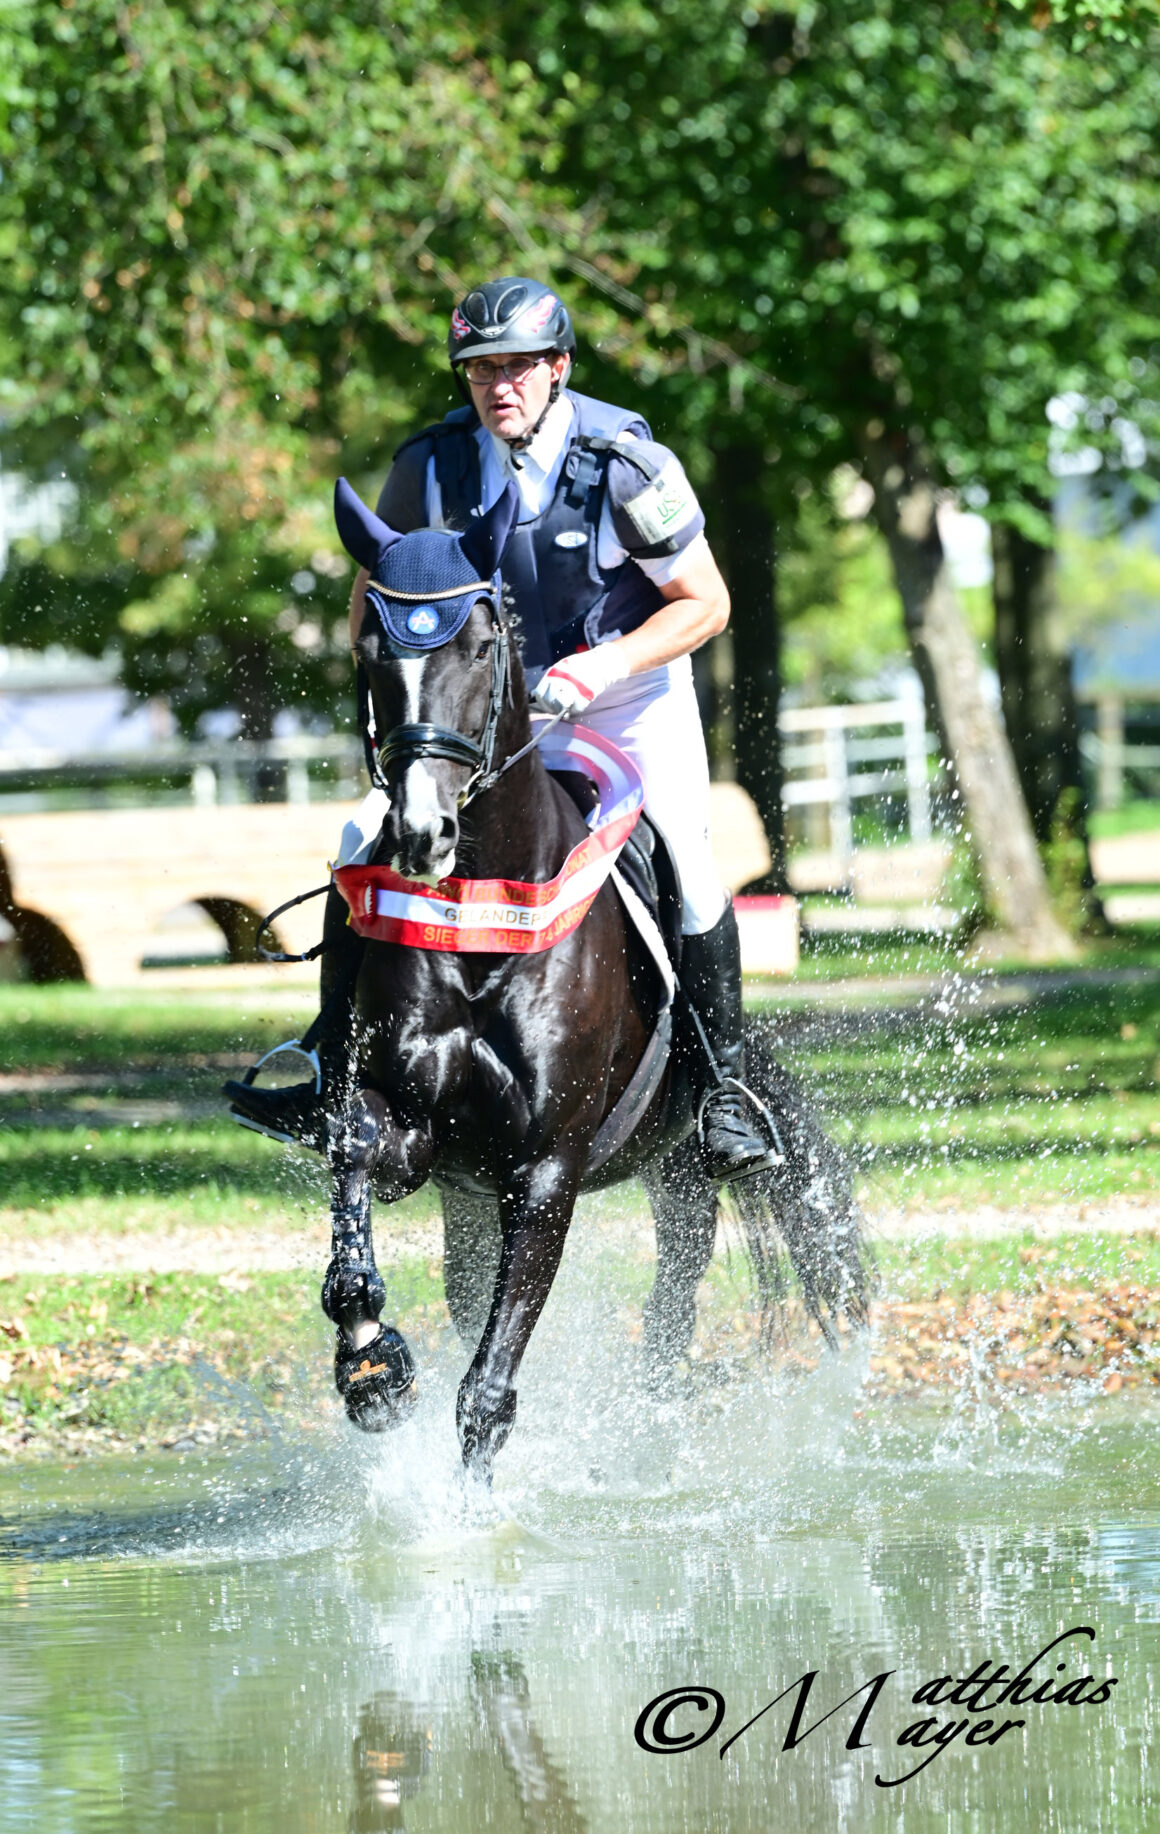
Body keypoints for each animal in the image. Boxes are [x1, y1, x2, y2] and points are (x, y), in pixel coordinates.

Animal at [238, 480, 870, 1481]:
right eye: (370, 649)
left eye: (480, 642)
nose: (422, 834)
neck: (481, 917)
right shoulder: (410, 1131)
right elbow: (354, 1183)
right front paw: (373, 1372)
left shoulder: (544, 1169)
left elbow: (489, 1391)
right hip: (476, 1198)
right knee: (473, 1291)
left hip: (681, 1173)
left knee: (672, 1303)